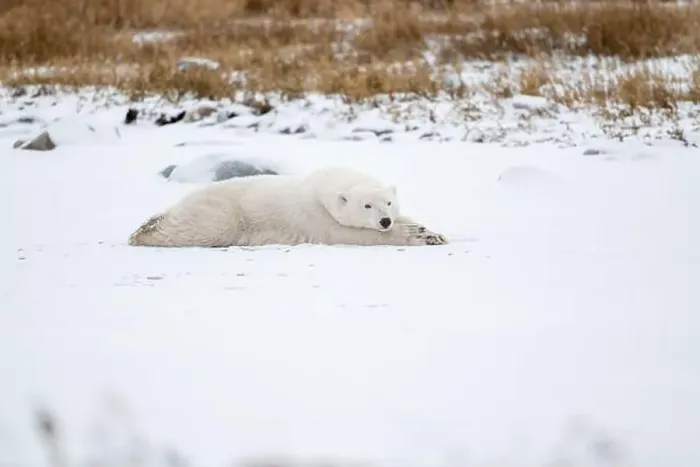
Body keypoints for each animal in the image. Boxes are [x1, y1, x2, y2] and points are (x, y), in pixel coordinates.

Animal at [128, 166, 448, 248]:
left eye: (389, 203)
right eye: (366, 205)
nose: (385, 221)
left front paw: (432, 232)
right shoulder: (316, 219)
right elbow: (350, 234)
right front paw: (418, 236)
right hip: (222, 212)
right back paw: (144, 231)